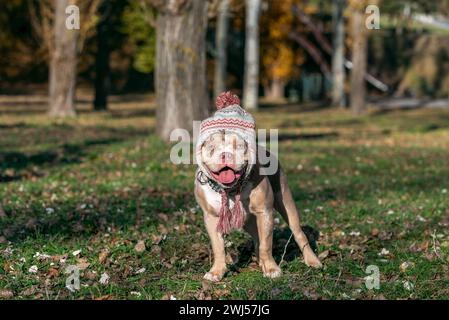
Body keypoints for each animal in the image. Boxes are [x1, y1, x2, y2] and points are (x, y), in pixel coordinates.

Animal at [194, 91, 320, 282]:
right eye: (212, 148)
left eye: (239, 146)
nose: (226, 155)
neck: (230, 191)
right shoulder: (212, 218)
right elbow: (218, 247)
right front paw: (217, 271)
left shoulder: (265, 212)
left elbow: (266, 244)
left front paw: (271, 268)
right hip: (248, 220)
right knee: (256, 237)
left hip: (285, 203)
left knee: (298, 233)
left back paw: (312, 261)